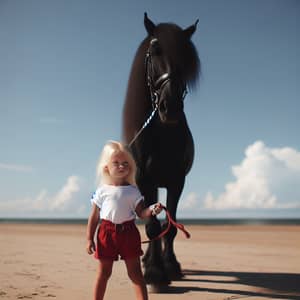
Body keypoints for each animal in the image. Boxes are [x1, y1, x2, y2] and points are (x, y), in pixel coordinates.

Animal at [120, 13, 200, 288]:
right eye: (154, 51)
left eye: (187, 59)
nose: (170, 107)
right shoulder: (146, 180)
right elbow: (153, 227)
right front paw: (154, 273)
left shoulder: (177, 181)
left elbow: (171, 227)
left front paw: (171, 267)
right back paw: (146, 262)